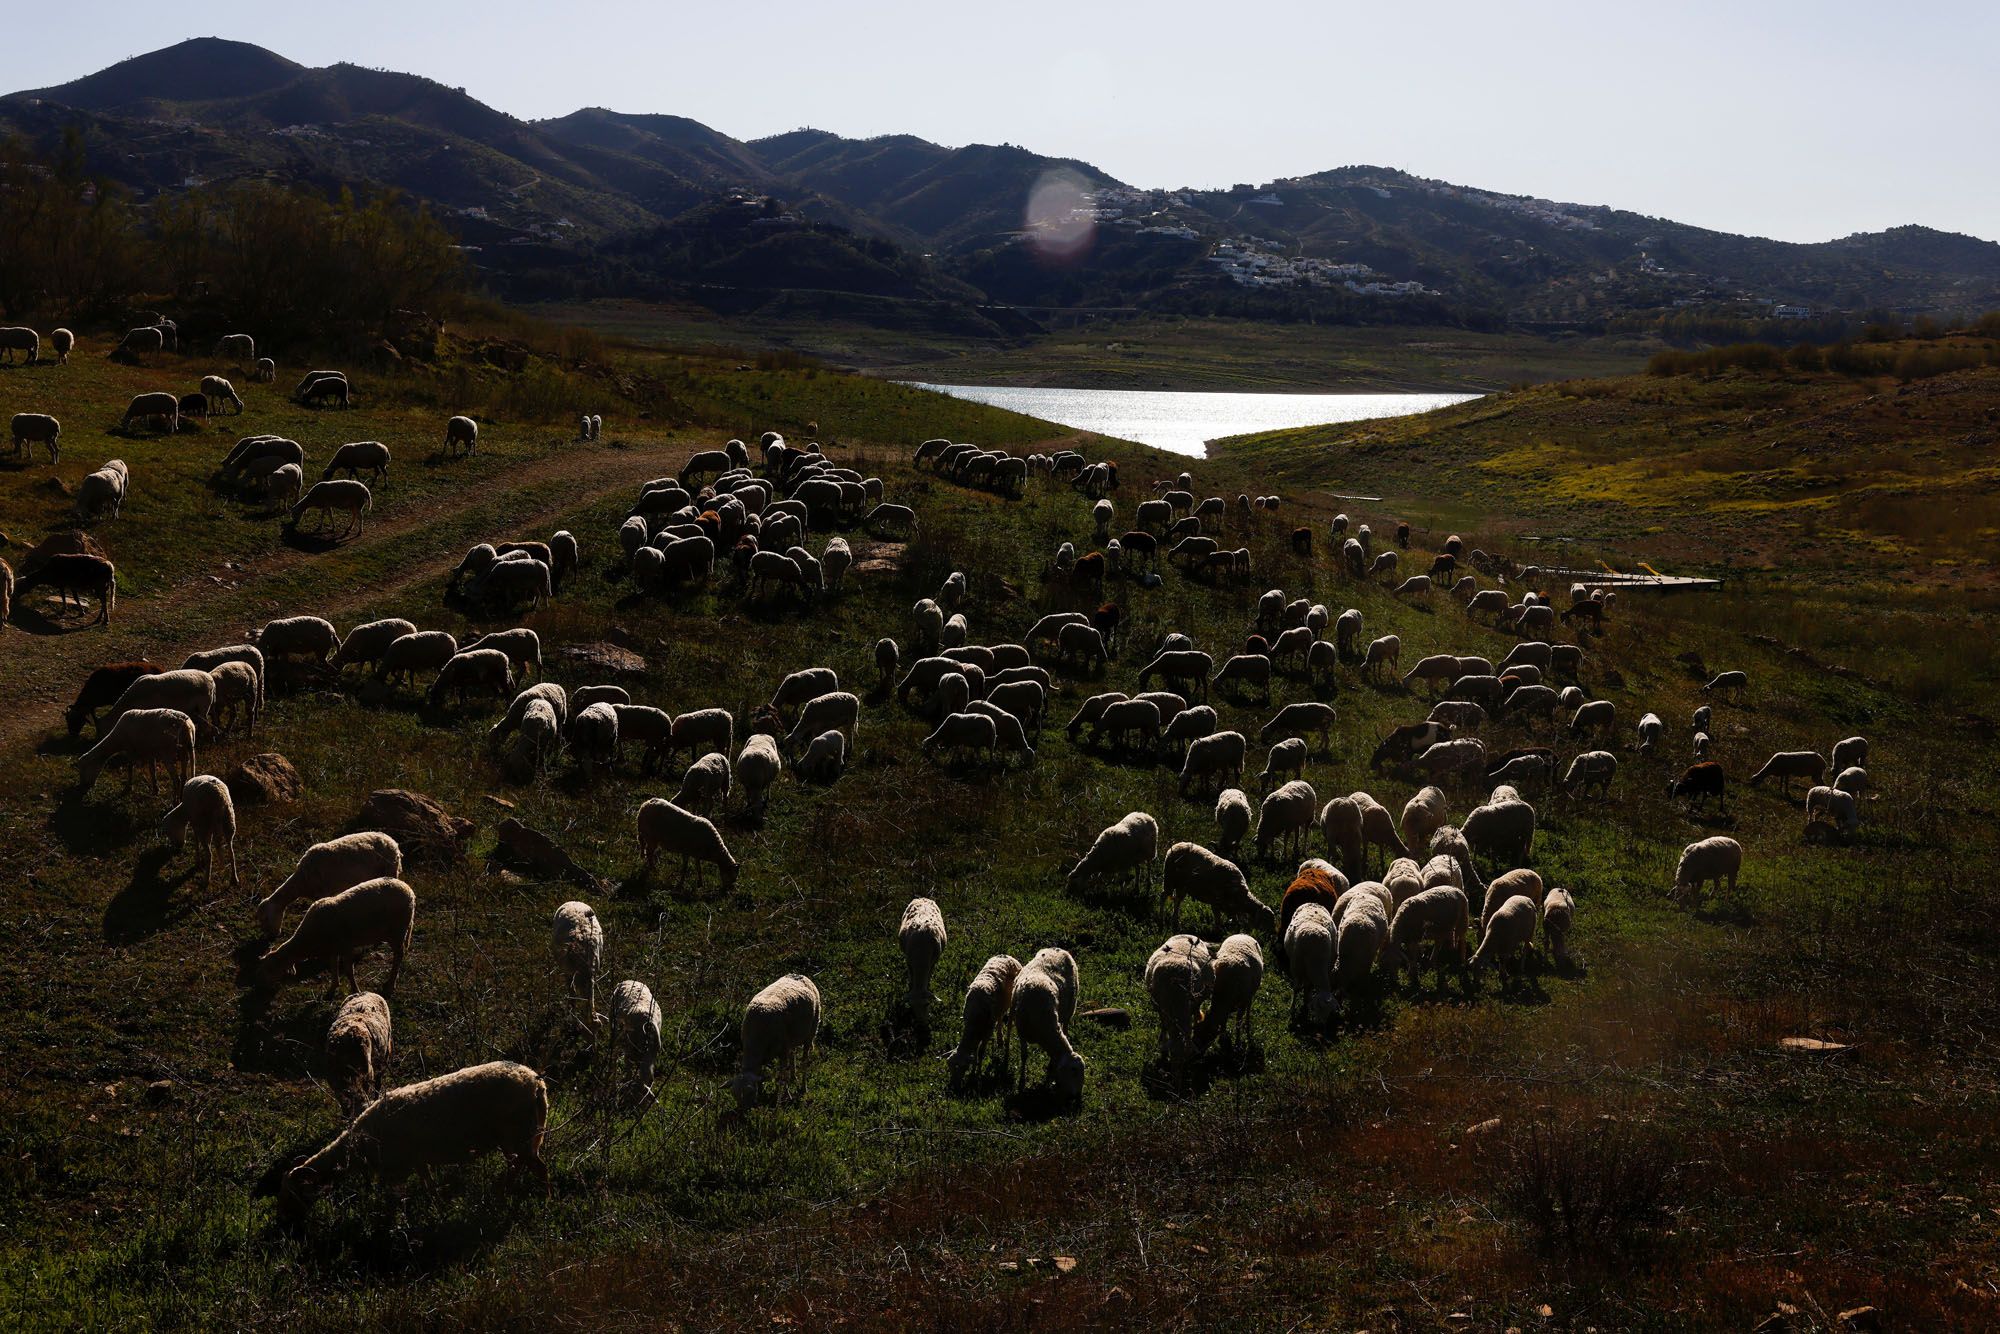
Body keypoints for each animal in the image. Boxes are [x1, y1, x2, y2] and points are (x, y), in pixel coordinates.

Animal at [278, 1064, 548, 1224]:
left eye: (294, 1195)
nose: (285, 1226)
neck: (359, 1144)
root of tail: (536, 1082)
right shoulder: (417, 1160)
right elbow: (428, 1184)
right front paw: (438, 1207)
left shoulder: (398, 1170)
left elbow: (396, 1202)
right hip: (516, 1137)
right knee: (519, 1165)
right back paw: (504, 1193)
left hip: (518, 1133)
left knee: (536, 1167)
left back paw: (541, 1199)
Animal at [728, 976, 820, 1112]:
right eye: (734, 1095)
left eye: (750, 1092)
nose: (741, 1112)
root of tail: (800, 975)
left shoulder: (782, 1051)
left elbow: (782, 1076)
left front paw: (785, 1096)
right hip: (790, 1038)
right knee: (792, 1054)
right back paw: (793, 1077)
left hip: (811, 1031)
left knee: (804, 1060)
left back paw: (803, 1088)